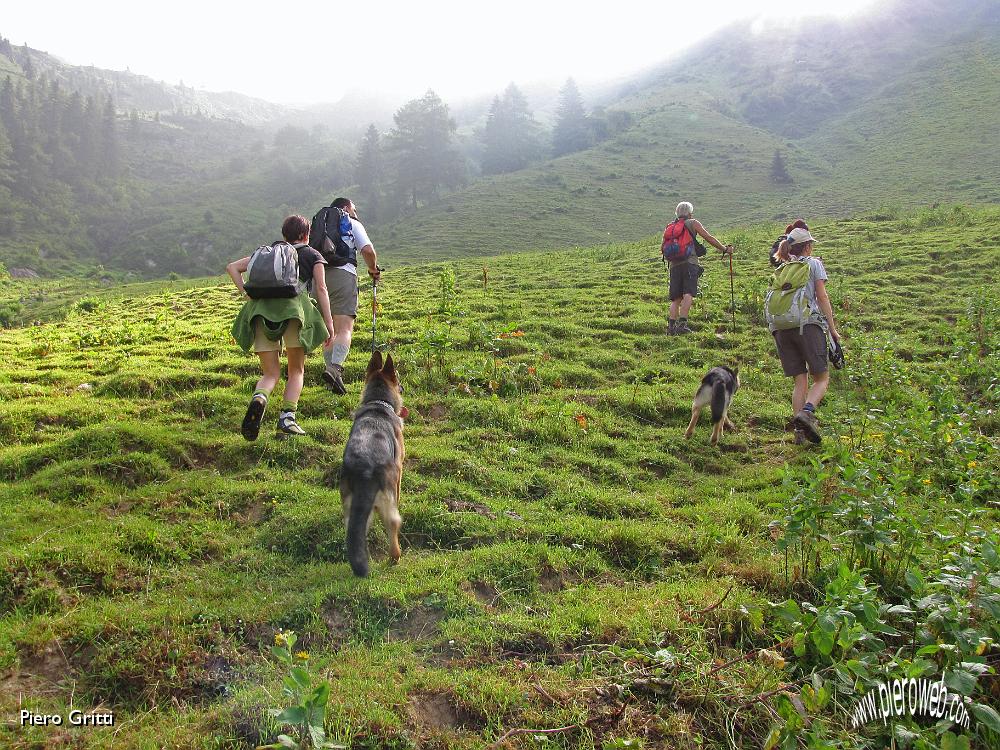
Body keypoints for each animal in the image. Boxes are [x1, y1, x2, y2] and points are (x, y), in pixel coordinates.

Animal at [344, 350, 406, 580]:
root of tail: (365, 468)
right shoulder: (399, 471)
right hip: (388, 498)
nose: (402, 388)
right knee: (393, 525)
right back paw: (395, 557)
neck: (379, 402)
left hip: (350, 504)